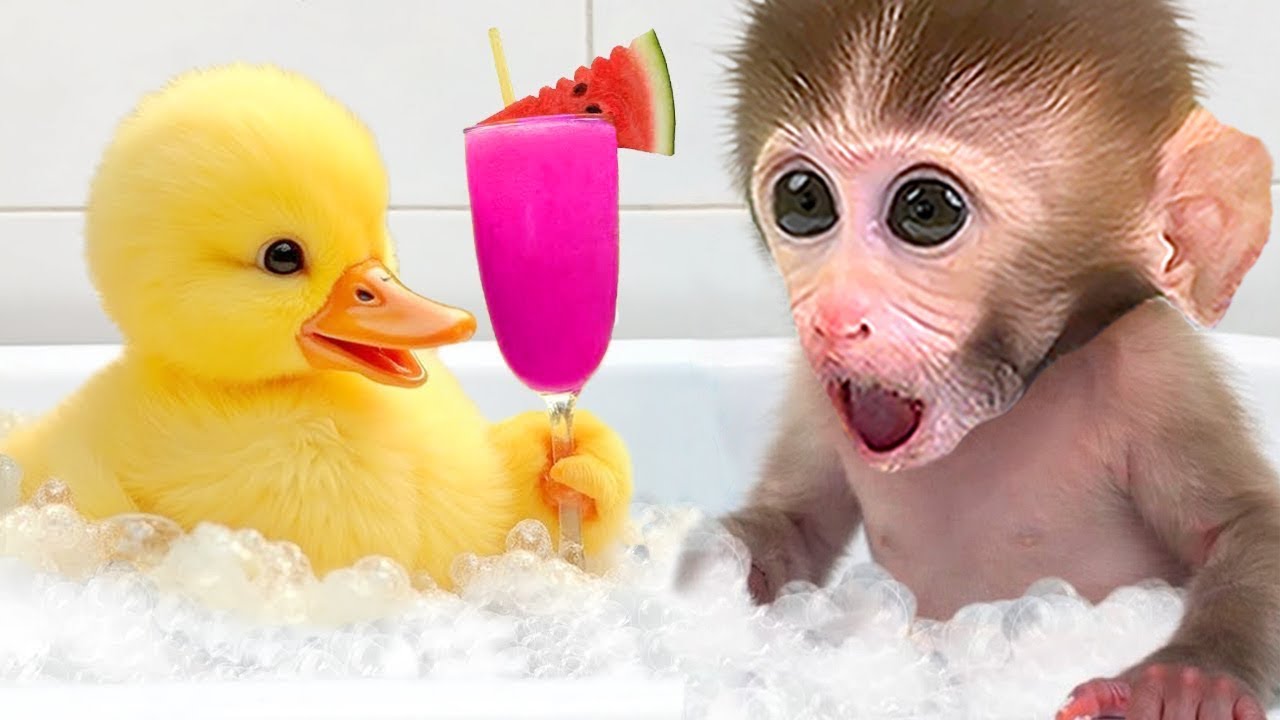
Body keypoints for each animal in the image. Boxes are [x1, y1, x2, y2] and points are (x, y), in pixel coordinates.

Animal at [676, 1, 1280, 719]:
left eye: (925, 209)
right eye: (804, 200)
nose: (834, 317)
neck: (1024, 393)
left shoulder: (1158, 372)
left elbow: (1244, 524)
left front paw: (1188, 676)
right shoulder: (812, 390)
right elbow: (797, 524)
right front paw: (707, 566)